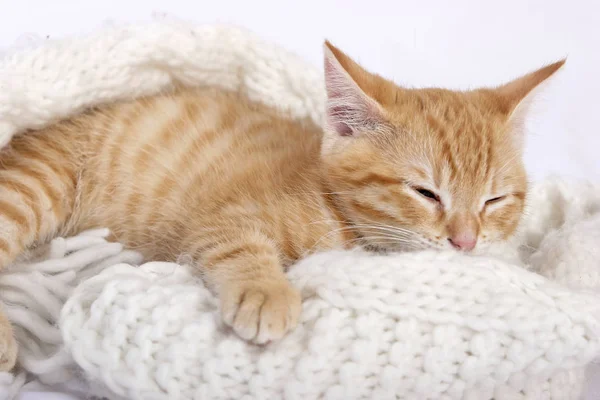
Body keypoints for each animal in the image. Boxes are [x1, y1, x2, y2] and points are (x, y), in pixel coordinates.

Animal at [0, 42, 564, 370]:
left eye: (495, 199)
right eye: (425, 192)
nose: (464, 241)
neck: (338, 214)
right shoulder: (222, 219)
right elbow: (238, 246)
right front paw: (266, 293)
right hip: (37, 183)